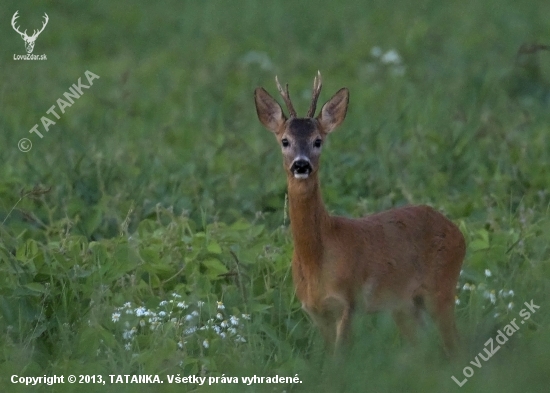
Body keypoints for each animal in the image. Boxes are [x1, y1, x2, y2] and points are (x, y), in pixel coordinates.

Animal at [254, 72, 466, 354]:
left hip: (442, 287)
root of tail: (457, 232)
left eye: (318, 141)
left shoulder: (350, 301)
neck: (317, 259)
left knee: (454, 344)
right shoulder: (314, 311)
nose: (301, 164)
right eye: (284, 141)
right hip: (405, 304)